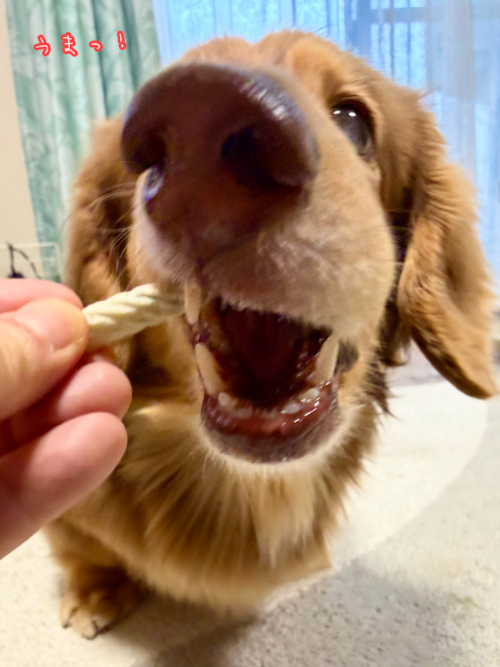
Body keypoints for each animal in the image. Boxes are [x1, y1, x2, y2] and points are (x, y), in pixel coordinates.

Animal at [46, 30, 497, 639]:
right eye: (133, 152)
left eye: (354, 121)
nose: (201, 115)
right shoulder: (71, 513)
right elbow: (82, 547)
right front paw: (94, 591)